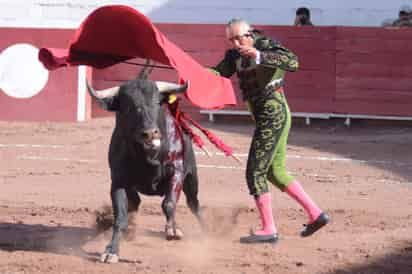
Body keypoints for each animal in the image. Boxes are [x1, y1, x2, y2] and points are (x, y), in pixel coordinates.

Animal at [86, 65, 203, 264]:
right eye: (128, 107)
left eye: (156, 102)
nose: (149, 133)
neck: (149, 157)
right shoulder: (118, 181)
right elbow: (121, 217)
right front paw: (111, 251)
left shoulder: (177, 172)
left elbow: (169, 204)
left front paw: (172, 231)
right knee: (135, 203)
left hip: (191, 179)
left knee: (193, 204)